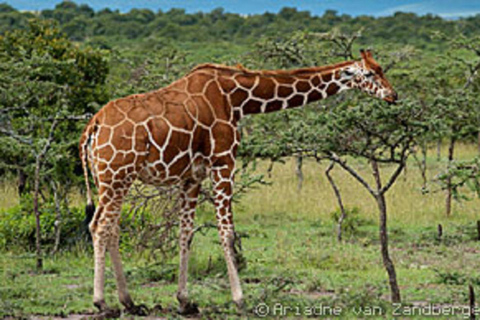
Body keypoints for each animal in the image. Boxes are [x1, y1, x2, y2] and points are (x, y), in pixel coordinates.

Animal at [79, 48, 398, 316]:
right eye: (370, 74)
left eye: (381, 69)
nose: (393, 95)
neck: (237, 99)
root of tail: (92, 127)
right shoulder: (224, 162)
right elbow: (227, 232)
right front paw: (240, 299)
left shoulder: (192, 176)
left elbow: (186, 233)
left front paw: (185, 301)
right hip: (116, 175)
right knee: (100, 225)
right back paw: (102, 303)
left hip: (111, 179)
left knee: (112, 228)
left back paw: (129, 303)